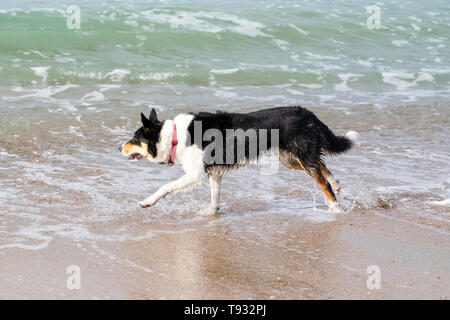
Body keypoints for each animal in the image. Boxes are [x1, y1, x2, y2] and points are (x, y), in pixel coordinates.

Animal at [120, 106, 358, 214]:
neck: (175, 136)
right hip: (291, 159)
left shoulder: (195, 174)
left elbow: (165, 187)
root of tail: (308, 113)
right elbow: (215, 197)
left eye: (135, 138)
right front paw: (211, 213)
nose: (119, 147)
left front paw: (147, 201)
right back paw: (337, 185)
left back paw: (336, 207)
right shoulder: (214, 174)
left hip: (299, 155)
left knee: (322, 181)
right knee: (321, 165)